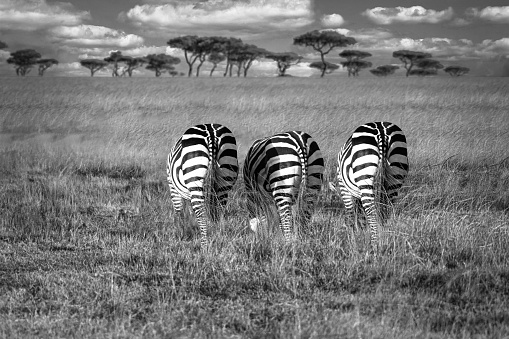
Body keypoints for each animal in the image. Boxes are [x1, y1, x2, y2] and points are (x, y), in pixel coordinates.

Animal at [336, 121, 406, 250]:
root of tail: (382, 132)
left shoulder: (344, 188)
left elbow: (351, 215)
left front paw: (352, 239)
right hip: (395, 173)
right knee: (386, 210)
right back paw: (385, 239)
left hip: (365, 174)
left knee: (372, 212)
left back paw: (374, 244)